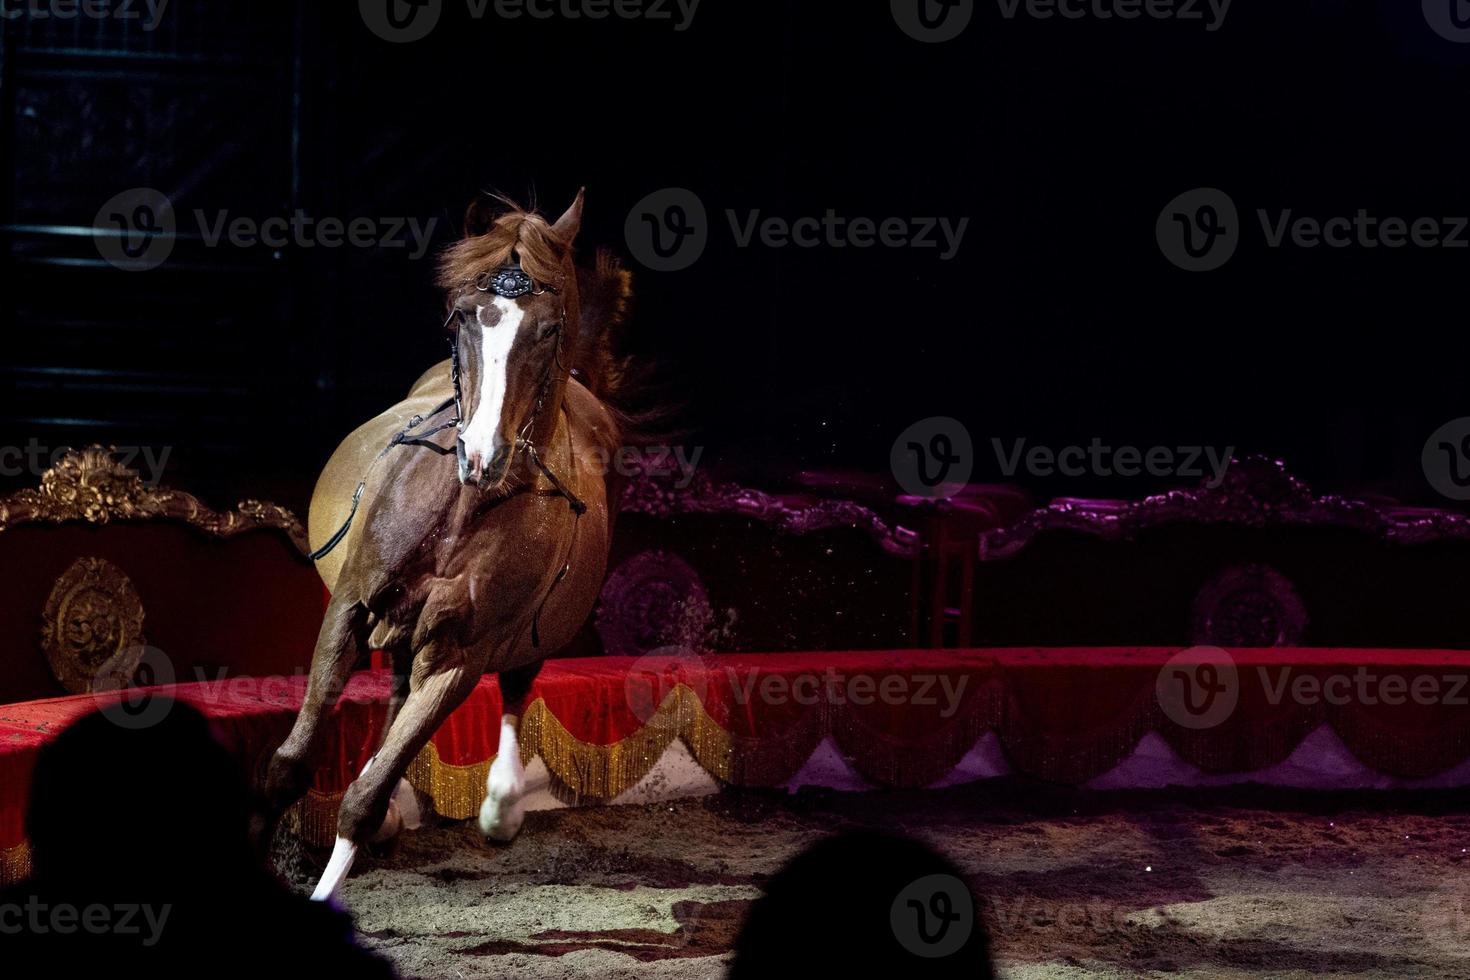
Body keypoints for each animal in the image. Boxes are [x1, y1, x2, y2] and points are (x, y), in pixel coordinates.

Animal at [267, 193, 635, 905]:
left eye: (548, 328)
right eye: (462, 316)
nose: (481, 456)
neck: (460, 514)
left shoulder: (460, 661)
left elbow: (363, 796)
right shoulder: (349, 608)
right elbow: (290, 766)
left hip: (527, 639)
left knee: (514, 689)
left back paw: (500, 806)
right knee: (394, 693)